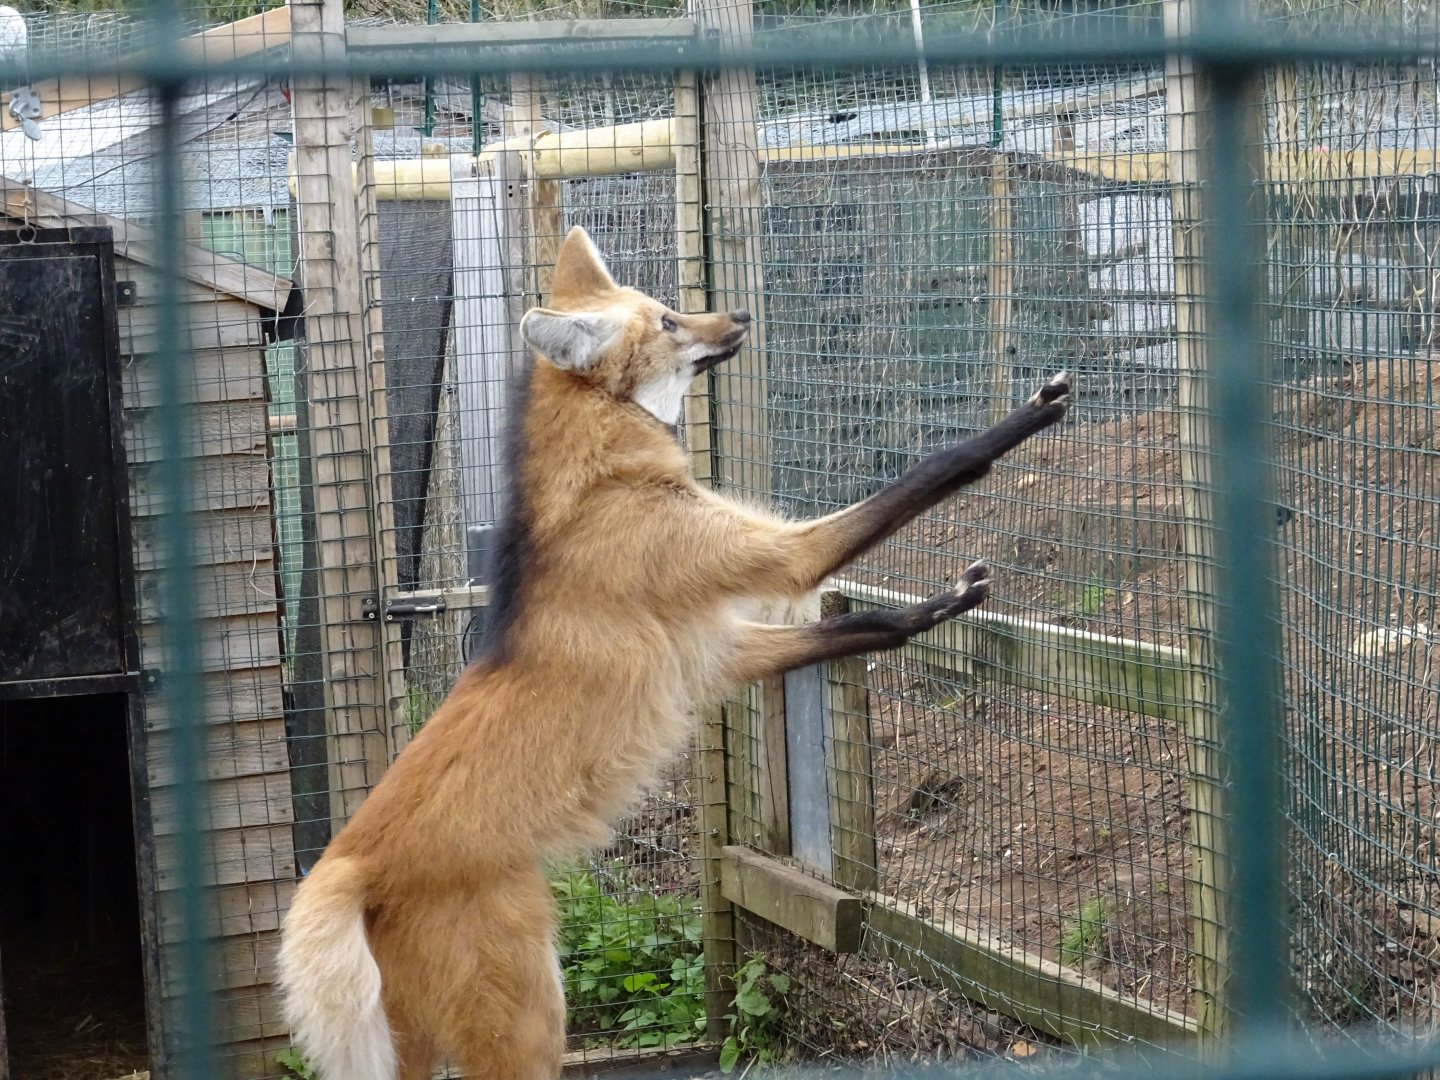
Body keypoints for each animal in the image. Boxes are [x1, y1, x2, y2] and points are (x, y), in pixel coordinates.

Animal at [277, 226, 1071, 1080]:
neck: (605, 478)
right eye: (666, 320)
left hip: (419, 1032)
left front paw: (941, 608)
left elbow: (859, 625)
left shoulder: (714, 651)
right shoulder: (774, 557)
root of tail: (343, 862)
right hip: (526, 1007)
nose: (741, 316)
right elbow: (925, 476)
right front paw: (1028, 415)